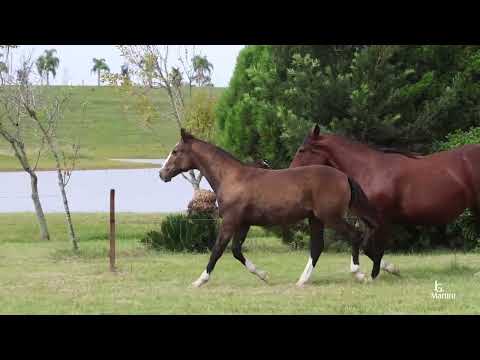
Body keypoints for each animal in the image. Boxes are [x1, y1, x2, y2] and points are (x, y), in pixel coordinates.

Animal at [159, 129, 380, 286]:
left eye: (175, 151)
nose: (162, 174)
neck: (231, 177)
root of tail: (344, 176)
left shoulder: (230, 221)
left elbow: (218, 249)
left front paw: (199, 280)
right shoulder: (244, 223)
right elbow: (236, 251)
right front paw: (264, 275)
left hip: (331, 217)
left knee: (354, 235)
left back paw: (359, 274)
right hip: (316, 219)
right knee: (317, 247)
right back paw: (302, 281)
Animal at [290, 125, 480, 280]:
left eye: (302, 150)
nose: (291, 172)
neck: (370, 169)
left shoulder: (382, 220)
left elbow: (374, 248)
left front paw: (373, 275)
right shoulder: (369, 220)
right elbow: (366, 247)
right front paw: (391, 269)